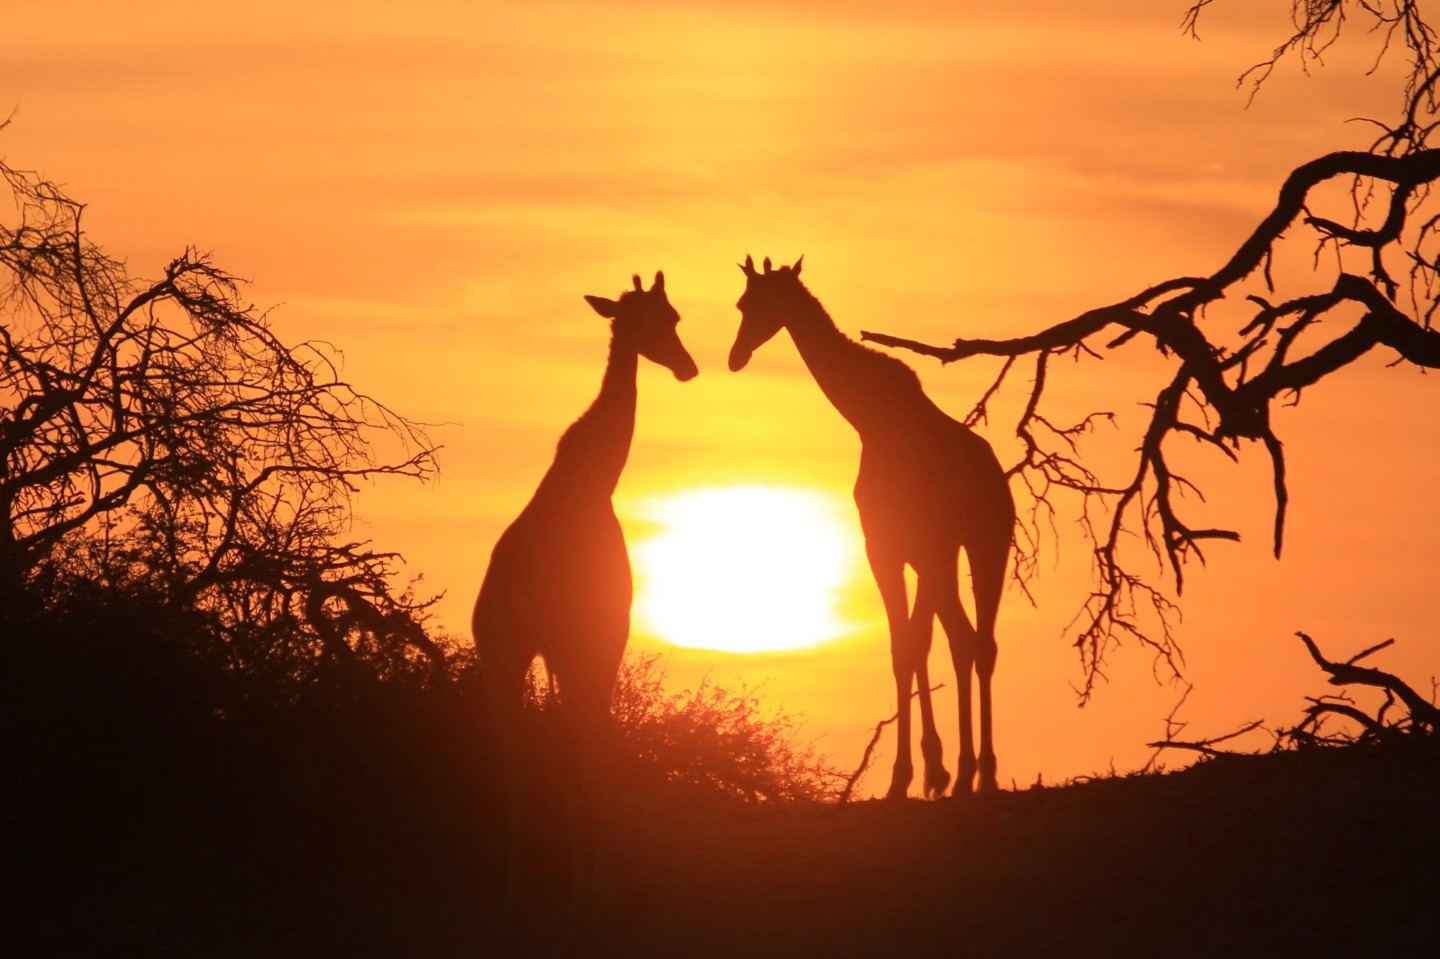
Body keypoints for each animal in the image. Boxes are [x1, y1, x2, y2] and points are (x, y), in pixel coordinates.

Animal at [472, 266, 696, 898]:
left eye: (673, 316)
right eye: (651, 320)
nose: (687, 367)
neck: (595, 480)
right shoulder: (606, 632)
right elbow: (599, 745)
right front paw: (601, 873)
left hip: (503, 654)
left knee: (517, 756)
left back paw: (517, 878)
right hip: (560, 649)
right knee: (579, 743)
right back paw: (590, 874)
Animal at [731, 251, 1013, 789]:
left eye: (753, 304)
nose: (736, 356)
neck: (869, 418)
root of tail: (991, 483)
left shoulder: (885, 546)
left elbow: (906, 647)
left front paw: (905, 776)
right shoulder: (908, 548)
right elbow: (914, 644)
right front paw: (928, 768)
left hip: (965, 548)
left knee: (966, 640)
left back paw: (972, 772)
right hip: (976, 547)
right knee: (979, 642)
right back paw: (981, 772)